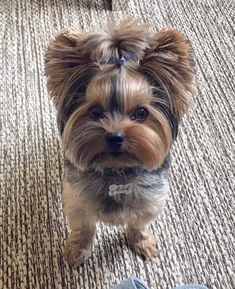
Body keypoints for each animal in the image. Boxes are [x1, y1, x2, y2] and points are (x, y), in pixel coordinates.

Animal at [44, 19, 195, 266]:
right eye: (95, 112)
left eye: (141, 113)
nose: (115, 137)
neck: (117, 171)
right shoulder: (77, 198)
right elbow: (84, 227)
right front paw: (78, 250)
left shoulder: (150, 200)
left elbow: (139, 224)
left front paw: (142, 242)